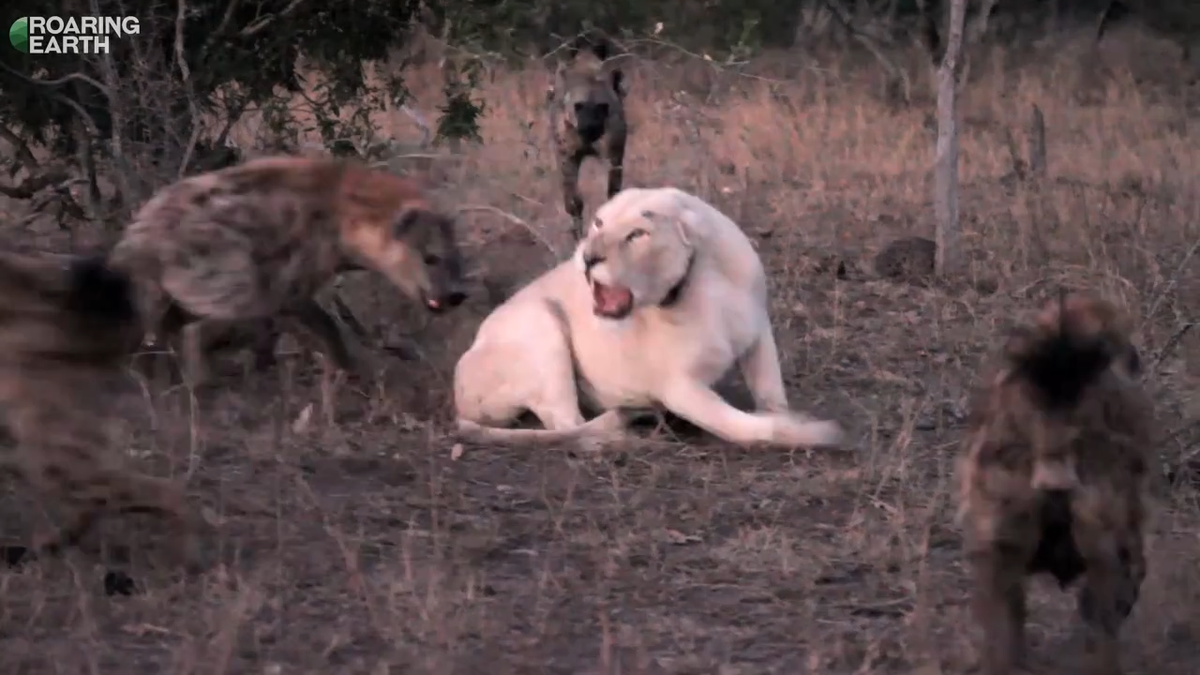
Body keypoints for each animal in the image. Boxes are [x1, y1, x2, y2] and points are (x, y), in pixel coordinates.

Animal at [451, 184, 844, 446]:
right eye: (598, 223)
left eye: (637, 234)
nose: (587, 257)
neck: (700, 285)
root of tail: (459, 393)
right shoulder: (678, 387)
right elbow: (747, 426)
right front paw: (813, 432)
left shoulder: (757, 334)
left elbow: (772, 395)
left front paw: (787, 415)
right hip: (540, 320)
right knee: (566, 424)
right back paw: (625, 430)